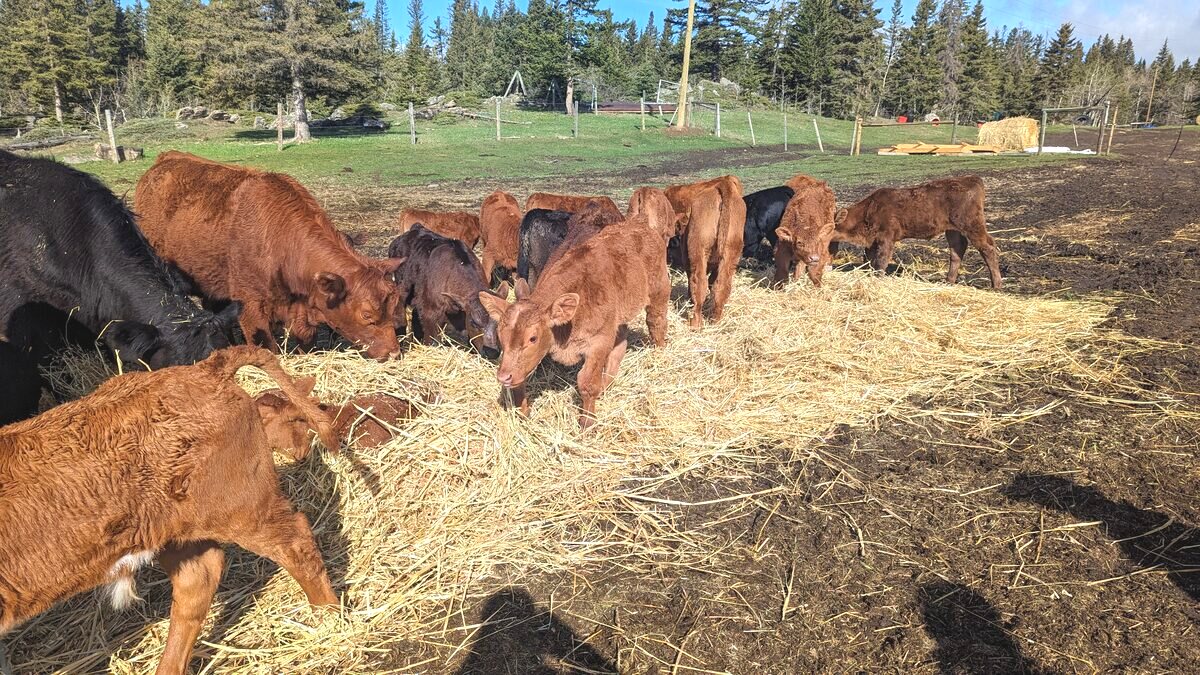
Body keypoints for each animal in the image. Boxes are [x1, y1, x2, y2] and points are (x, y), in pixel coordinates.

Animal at [0, 346, 338, 675]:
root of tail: (206, 368)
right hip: (173, 530)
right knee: (198, 579)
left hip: (242, 506)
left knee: (297, 543)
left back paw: (330, 617)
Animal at [478, 214, 670, 429]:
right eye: (501, 336)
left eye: (532, 338)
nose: (503, 376)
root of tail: (639, 223)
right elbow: (522, 378)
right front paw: (523, 412)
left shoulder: (599, 342)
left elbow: (587, 383)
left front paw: (587, 422)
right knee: (620, 343)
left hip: (659, 288)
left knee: (656, 320)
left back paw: (660, 350)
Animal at [664, 175, 747, 329]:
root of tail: (724, 182)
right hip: (731, 252)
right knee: (721, 286)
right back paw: (716, 321)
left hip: (698, 251)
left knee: (699, 284)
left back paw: (695, 323)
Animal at [795, 175, 1002, 288]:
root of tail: (971, 179)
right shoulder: (872, 242)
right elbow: (869, 261)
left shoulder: (886, 238)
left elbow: (881, 262)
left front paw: (878, 279)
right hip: (952, 230)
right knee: (957, 250)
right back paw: (948, 281)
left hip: (972, 224)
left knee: (988, 246)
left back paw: (996, 284)